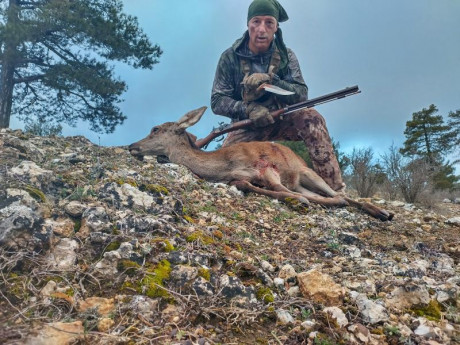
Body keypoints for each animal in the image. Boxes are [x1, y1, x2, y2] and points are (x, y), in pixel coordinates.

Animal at [130, 106, 396, 222]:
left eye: (155, 129)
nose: (132, 145)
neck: (223, 165)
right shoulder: (240, 177)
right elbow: (245, 184)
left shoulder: (265, 166)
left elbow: (278, 188)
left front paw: (299, 201)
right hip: (302, 181)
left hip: (309, 172)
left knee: (341, 194)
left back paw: (380, 210)